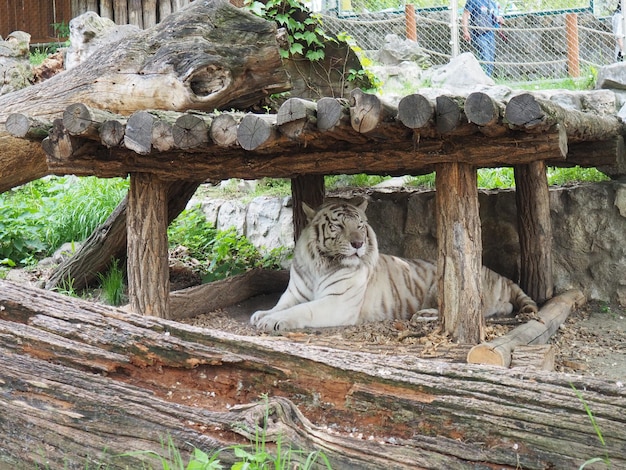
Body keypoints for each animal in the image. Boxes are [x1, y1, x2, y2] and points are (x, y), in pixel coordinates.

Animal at [249, 198, 536, 330]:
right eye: (338, 226)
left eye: (360, 226)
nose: (357, 244)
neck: (320, 264)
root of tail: (502, 277)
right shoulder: (295, 293)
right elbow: (281, 304)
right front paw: (262, 314)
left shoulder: (337, 303)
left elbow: (303, 310)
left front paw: (273, 321)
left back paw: (424, 315)